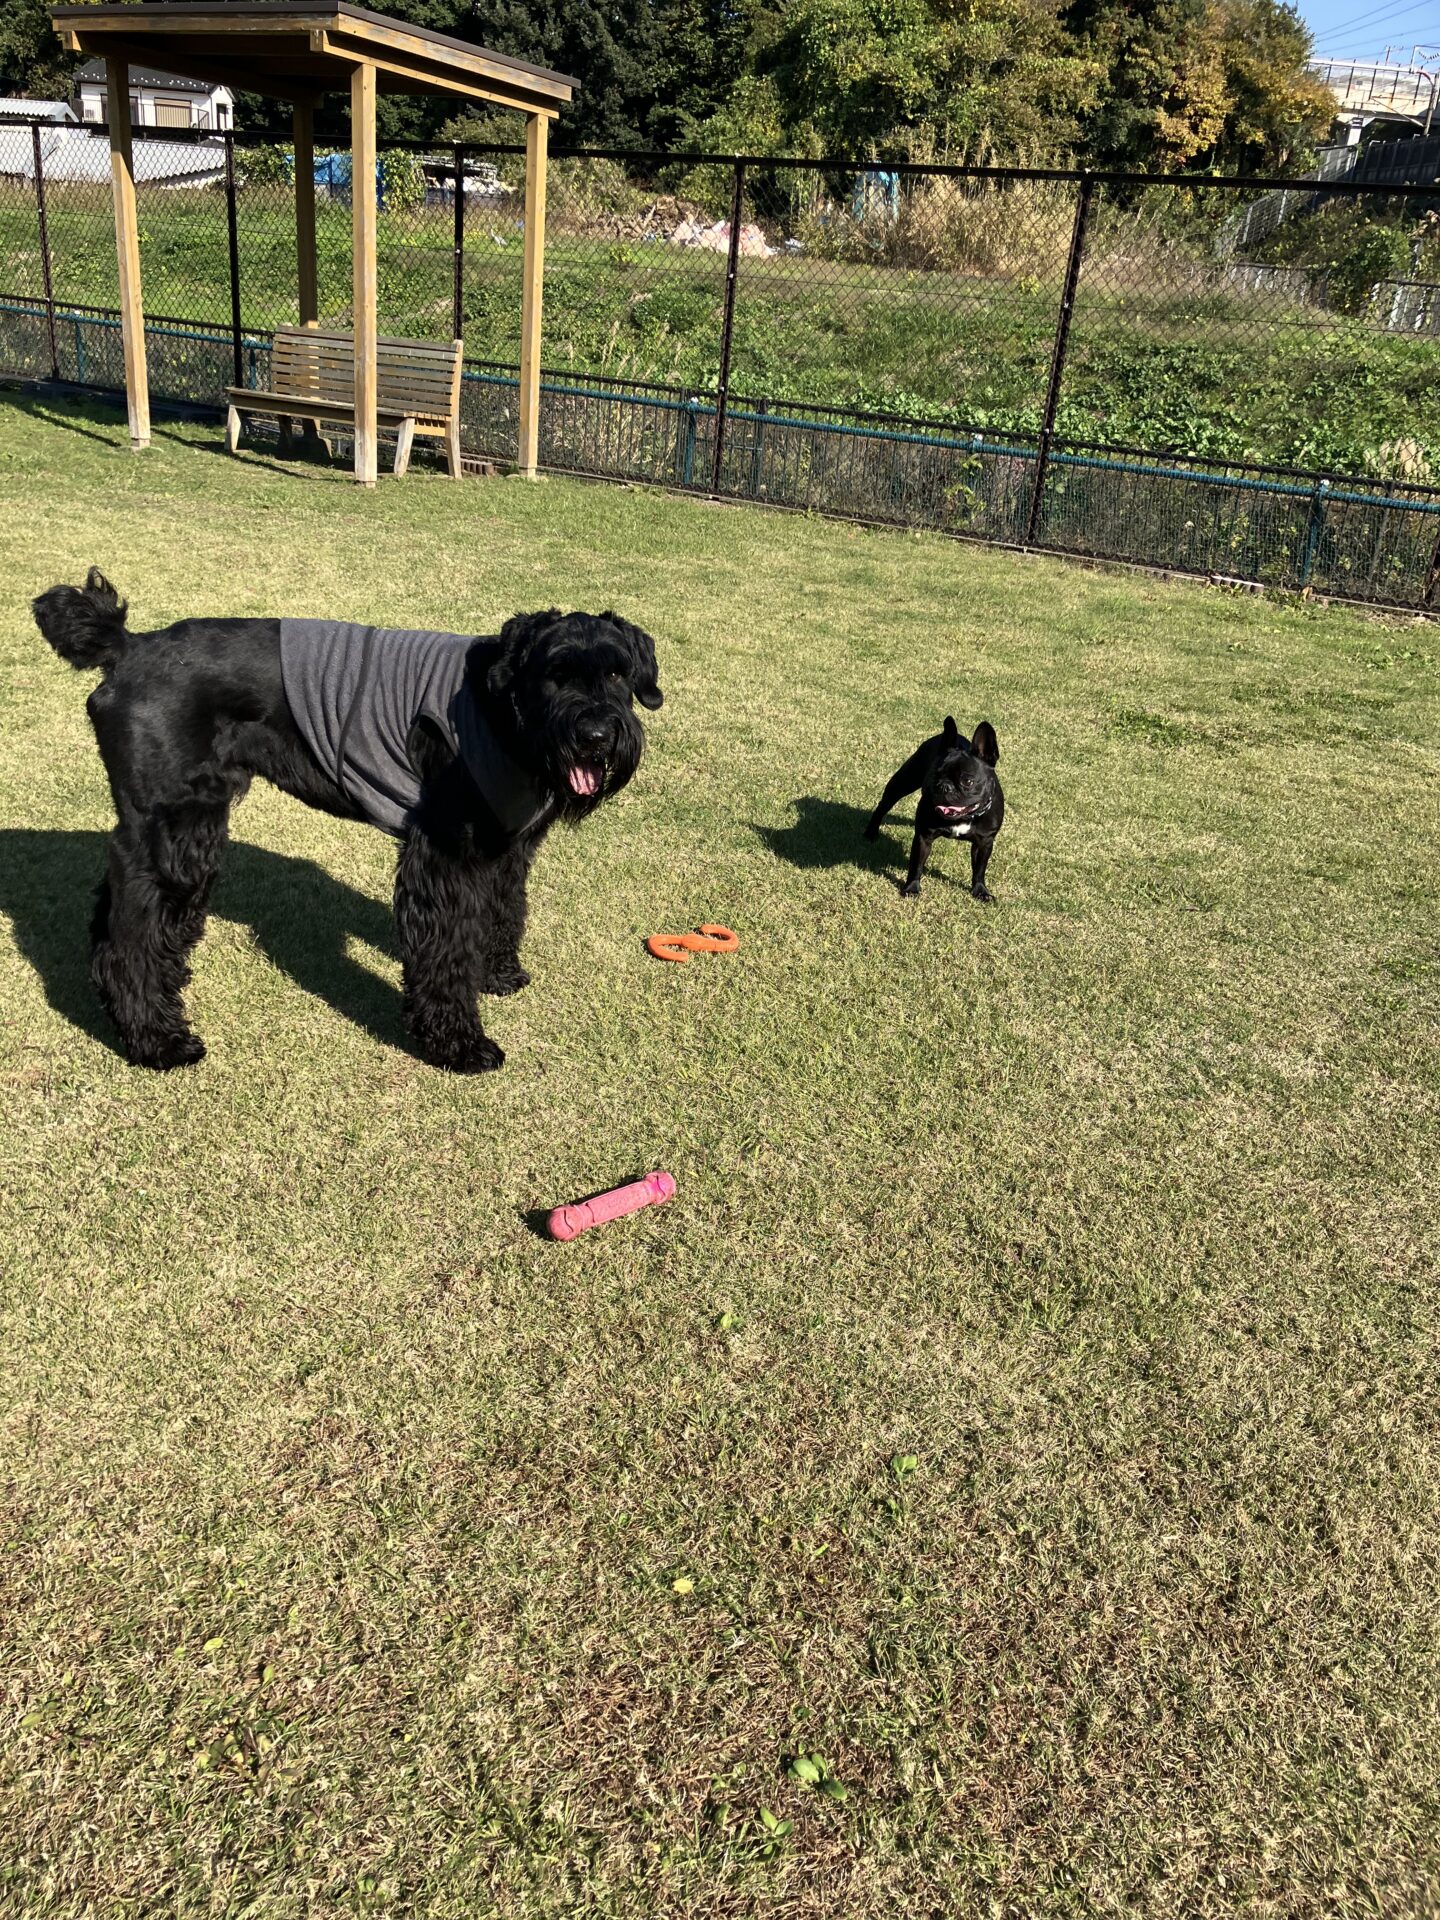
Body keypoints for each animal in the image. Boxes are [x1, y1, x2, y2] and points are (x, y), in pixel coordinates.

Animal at [32, 570, 662, 1072]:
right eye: (554, 674)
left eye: (618, 675)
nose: (595, 735)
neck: (504, 712)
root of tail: (127, 648)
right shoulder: (446, 855)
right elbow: (446, 949)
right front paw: (458, 1044)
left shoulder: (506, 847)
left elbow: (503, 910)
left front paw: (498, 973)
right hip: (177, 830)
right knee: (132, 933)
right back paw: (157, 1039)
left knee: (119, 913)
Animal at [863, 716, 1003, 900]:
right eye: (935, 774)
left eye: (968, 781)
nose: (943, 786)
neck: (963, 817)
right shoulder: (923, 837)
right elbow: (916, 866)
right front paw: (912, 888)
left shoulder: (984, 843)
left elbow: (979, 869)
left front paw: (980, 891)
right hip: (902, 782)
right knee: (882, 807)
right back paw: (871, 833)